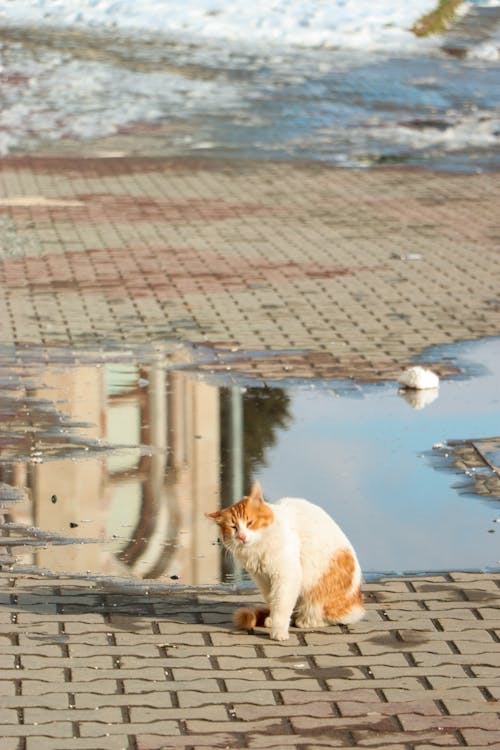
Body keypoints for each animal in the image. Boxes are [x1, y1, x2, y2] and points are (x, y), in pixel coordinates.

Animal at [207, 484, 364, 644]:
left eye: (250, 523)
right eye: (233, 527)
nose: (242, 537)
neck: (257, 549)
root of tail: (358, 602)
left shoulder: (286, 576)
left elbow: (281, 605)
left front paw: (279, 630)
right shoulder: (263, 579)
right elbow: (272, 600)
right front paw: (272, 619)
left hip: (318, 596)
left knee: (334, 617)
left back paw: (306, 621)